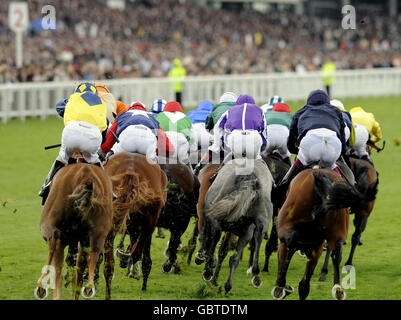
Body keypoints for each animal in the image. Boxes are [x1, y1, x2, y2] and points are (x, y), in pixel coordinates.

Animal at [34, 164, 114, 302]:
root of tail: (86, 176)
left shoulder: (58, 235)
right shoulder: (84, 241)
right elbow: (78, 274)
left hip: (49, 224)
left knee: (55, 246)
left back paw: (42, 286)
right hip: (99, 232)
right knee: (94, 252)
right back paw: (89, 287)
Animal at [103, 152, 167, 300]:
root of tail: (131, 171)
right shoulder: (148, 222)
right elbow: (141, 252)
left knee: (108, 265)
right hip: (149, 219)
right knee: (137, 251)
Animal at [270, 168, 360, 300]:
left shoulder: (284, 242)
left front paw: (282, 287)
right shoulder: (316, 249)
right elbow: (304, 286)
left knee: (291, 244)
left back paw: (280, 288)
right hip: (335, 233)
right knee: (336, 252)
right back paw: (338, 289)